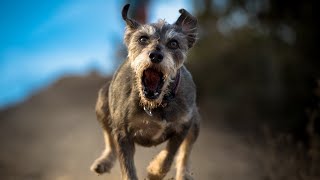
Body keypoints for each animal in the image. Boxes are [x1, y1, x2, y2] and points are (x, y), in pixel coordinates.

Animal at [90, 4, 200, 180]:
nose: (155, 55)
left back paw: (184, 174)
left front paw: (154, 171)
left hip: (195, 122)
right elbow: (127, 168)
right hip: (102, 103)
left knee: (186, 151)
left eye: (174, 43)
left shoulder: (183, 126)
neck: (157, 105)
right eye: (143, 39)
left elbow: (170, 154)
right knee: (109, 138)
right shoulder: (123, 134)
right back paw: (104, 161)